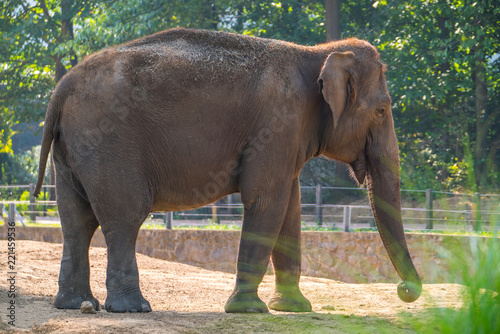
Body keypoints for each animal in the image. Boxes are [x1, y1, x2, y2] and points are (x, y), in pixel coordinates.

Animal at [33, 28, 420, 314]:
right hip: (110, 144)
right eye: (382, 110)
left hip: (72, 150)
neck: (316, 53)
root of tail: (60, 88)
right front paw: (249, 309)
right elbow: (266, 200)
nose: (405, 291)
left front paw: (294, 308)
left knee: (76, 221)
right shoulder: (278, 123)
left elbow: (290, 208)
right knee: (124, 218)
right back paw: (132, 308)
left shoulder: (287, 135)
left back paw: (76, 305)